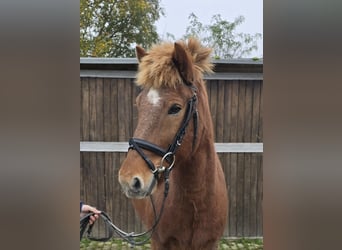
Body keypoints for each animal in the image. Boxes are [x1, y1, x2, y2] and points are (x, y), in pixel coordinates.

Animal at [119, 38, 228, 249]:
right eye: (138, 104)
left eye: (175, 108)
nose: (129, 179)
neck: (196, 199)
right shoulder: (158, 242)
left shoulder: (211, 243)